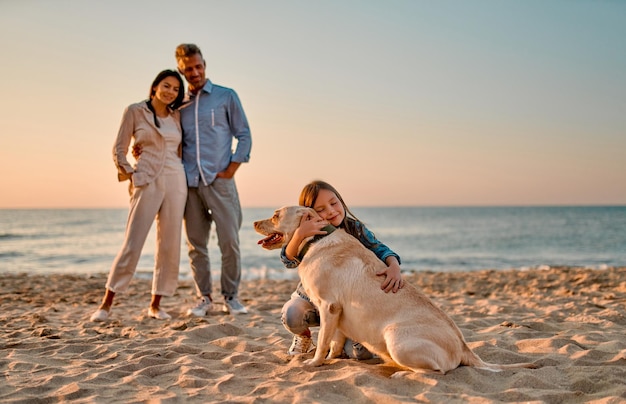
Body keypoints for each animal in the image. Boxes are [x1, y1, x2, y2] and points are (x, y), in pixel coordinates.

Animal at [251, 207, 532, 374]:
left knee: (436, 371)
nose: (253, 221)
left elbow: (322, 342)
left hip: (396, 338)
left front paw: (314, 362)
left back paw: (398, 371)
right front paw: (334, 358)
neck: (315, 239)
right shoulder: (337, 312)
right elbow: (335, 341)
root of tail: (465, 347)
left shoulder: (328, 306)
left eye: (275, 215)